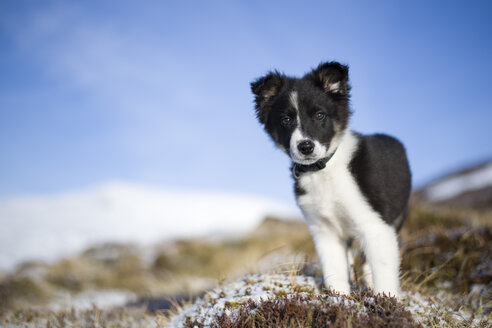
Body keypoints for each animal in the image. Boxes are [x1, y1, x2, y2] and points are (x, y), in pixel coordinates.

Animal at [250, 60, 412, 298]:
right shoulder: (324, 231)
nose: (305, 147)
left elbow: (383, 270)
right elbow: (335, 270)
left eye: (320, 115)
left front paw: (387, 302)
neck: (324, 170)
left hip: (396, 217)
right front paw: (340, 299)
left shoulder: (375, 225)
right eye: (286, 120)